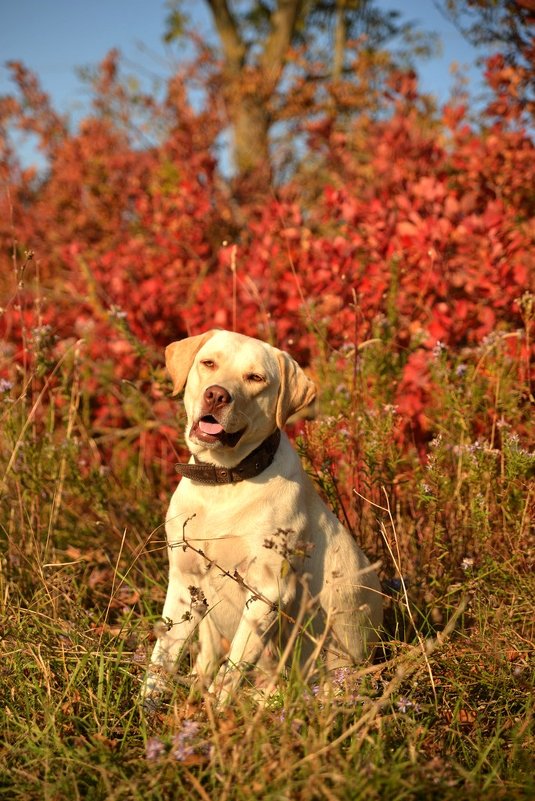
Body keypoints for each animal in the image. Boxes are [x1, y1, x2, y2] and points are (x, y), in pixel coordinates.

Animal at [144, 328, 384, 704]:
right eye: (208, 363)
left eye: (256, 378)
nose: (216, 395)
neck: (225, 481)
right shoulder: (184, 581)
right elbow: (162, 655)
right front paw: (145, 708)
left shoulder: (268, 592)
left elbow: (231, 673)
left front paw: (215, 713)